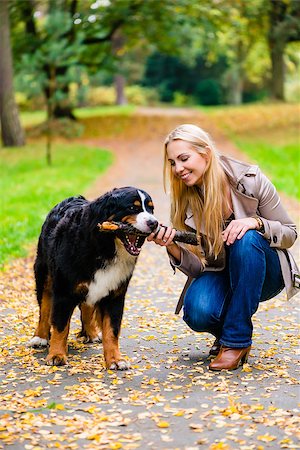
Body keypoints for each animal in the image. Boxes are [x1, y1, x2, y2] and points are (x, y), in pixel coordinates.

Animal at [28, 185, 158, 370]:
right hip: (44, 276)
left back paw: (91, 333)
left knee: (87, 307)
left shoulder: (115, 295)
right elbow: (60, 326)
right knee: (44, 308)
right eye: (132, 208)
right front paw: (57, 355)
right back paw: (40, 337)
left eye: (151, 209)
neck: (105, 248)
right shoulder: (63, 292)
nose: (154, 223)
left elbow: (112, 330)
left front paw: (115, 359)